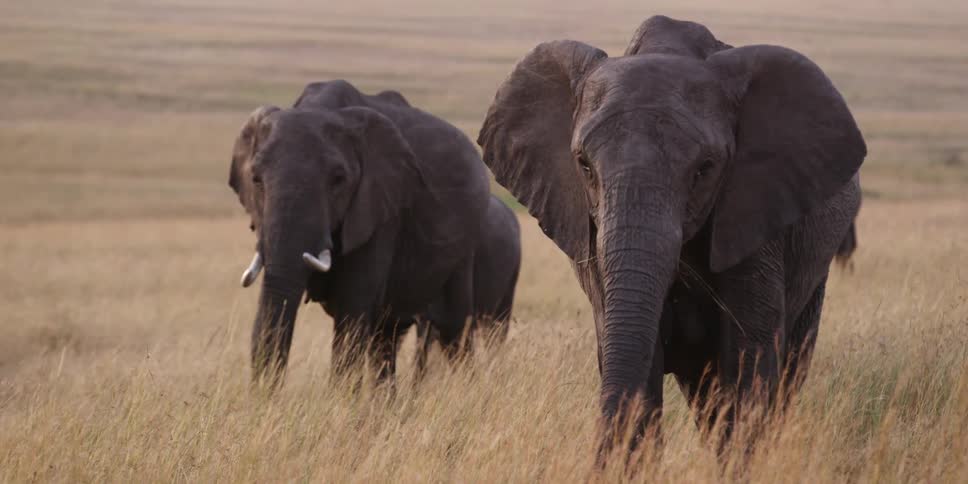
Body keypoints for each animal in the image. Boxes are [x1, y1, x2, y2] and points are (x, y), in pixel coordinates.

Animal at [229, 80, 491, 386]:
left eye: (338, 180)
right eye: (255, 179)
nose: (264, 397)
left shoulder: (379, 209)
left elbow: (351, 310)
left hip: (466, 244)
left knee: (452, 327)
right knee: (386, 337)